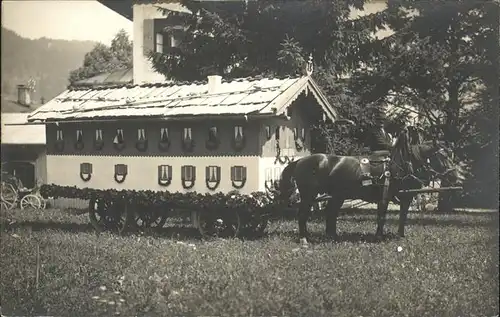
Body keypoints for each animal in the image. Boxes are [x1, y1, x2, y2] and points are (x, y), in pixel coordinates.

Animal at [280, 130, 466, 243]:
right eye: (442, 156)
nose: (457, 178)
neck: (400, 165)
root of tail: (300, 161)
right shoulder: (384, 197)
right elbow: (381, 217)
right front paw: (378, 237)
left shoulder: (406, 197)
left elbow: (403, 217)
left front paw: (400, 236)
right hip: (308, 195)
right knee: (303, 215)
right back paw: (304, 239)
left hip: (338, 196)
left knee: (330, 213)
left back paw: (332, 236)